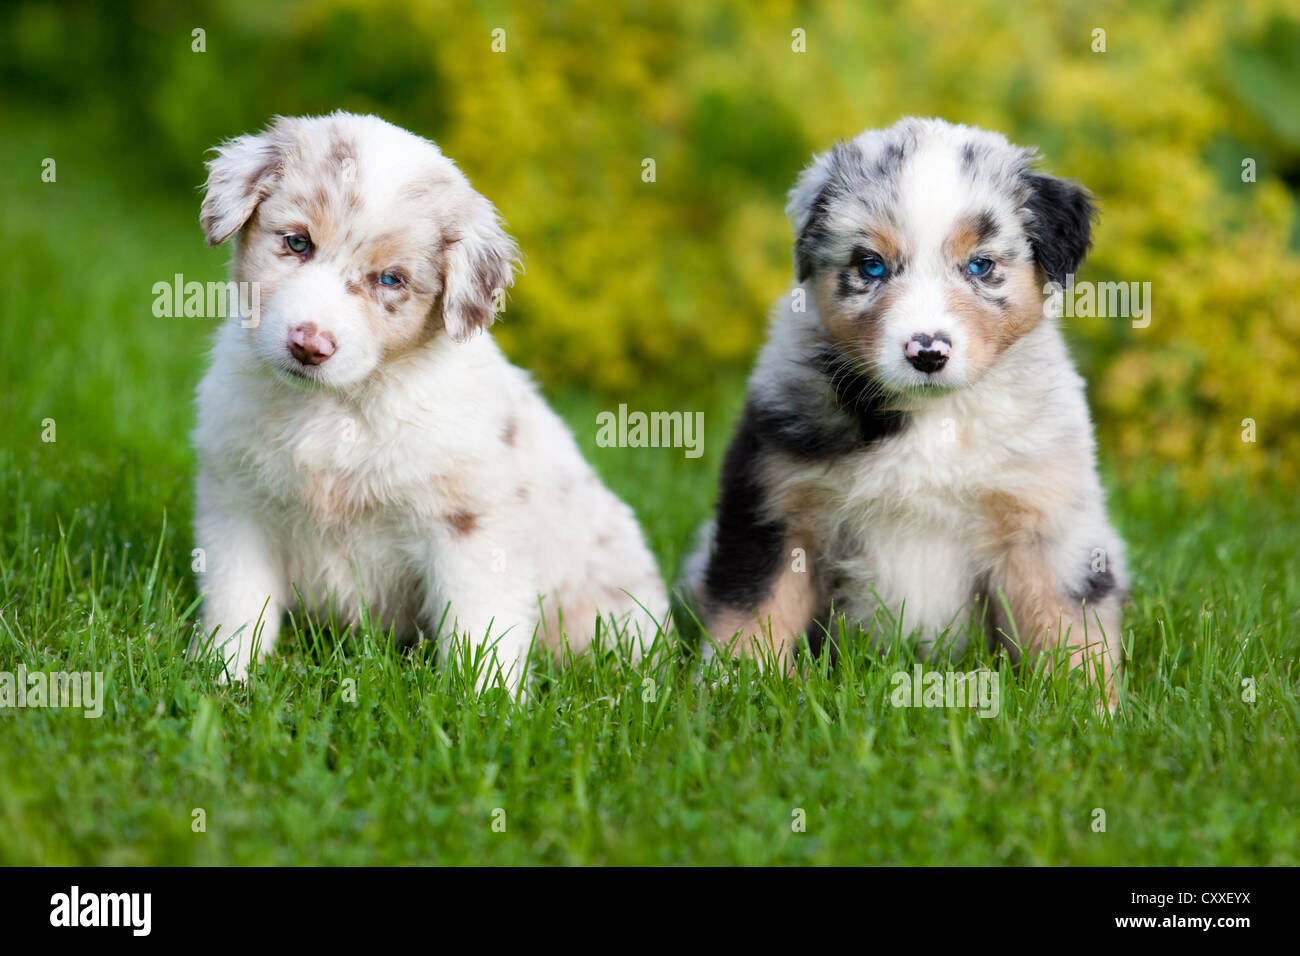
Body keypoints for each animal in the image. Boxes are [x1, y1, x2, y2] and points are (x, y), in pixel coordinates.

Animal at [192, 111, 670, 691]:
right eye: (298, 243)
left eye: (390, 279)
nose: (309, 345)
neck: (337, 408)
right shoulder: (238, 505)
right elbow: (239, 601)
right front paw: (223, 674)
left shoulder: (470, 522)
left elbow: (479, 625)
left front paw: (485, 700)